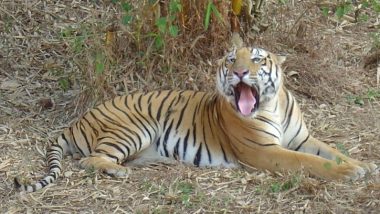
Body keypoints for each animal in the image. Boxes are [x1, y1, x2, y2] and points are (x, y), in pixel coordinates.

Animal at [14, 45, 378, 192]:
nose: (239, 72)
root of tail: (78, 120)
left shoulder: (302, 138)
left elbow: (332, 152)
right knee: (90, 160)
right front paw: (350, 173)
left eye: (257, 60)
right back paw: (118, 172)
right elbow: (310, 162)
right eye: (231, 59)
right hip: (134, 127)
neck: (270, 104)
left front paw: (364, 165)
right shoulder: (265, 151)